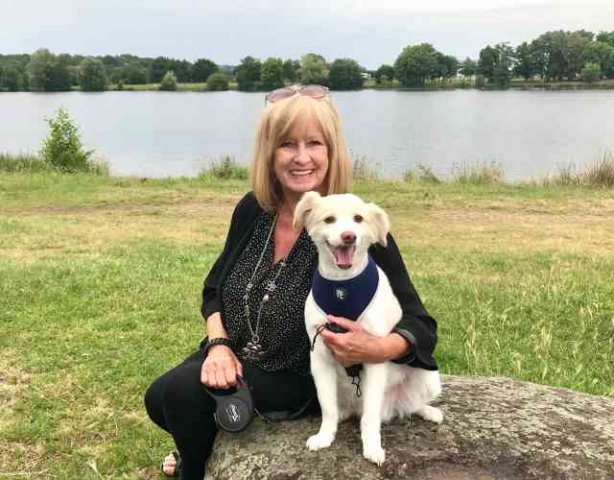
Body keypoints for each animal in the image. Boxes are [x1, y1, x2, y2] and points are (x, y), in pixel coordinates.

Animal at [294, 191, 442, 464]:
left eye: (358, 219)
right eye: (329, 219)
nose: (348, 236)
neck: (342, 287)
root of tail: (391, 409)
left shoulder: (373, 355)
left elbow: (370, 417)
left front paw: (372, 447)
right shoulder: (319, 358)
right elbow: (327, 408)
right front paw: (325, 436)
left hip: (429, 377)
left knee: (408, 405)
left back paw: (428, 411)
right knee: (341, 409)